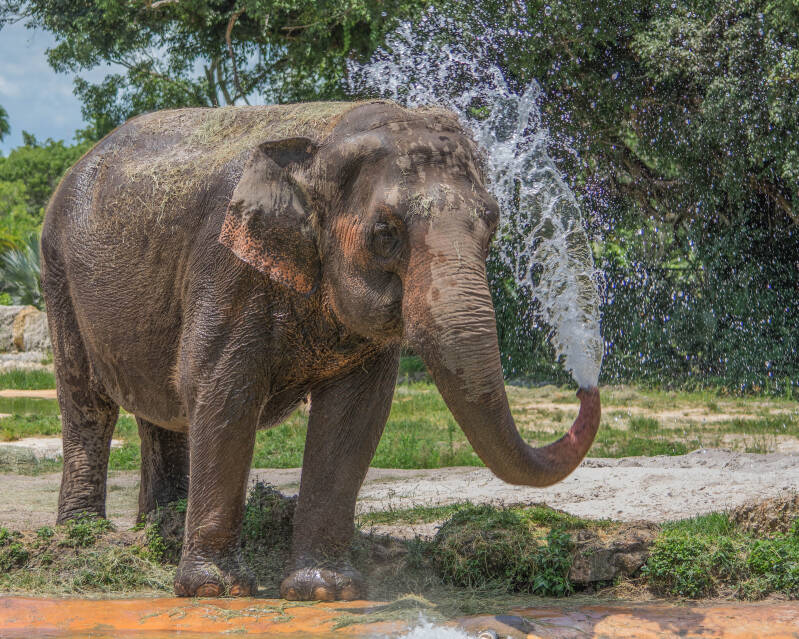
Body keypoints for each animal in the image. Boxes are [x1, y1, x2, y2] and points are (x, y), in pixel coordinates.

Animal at [41, 100, 601, 600]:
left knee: (161, 412)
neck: (321, 142)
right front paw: (214, 590)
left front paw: (325, 591)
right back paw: (83, 539)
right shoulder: (225, 265)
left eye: (493, 225)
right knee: (87, 401)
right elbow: (223, 390)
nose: (586, 382)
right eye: (385, 233)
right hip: (57, 270)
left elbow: (355, 415)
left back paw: (161, 526)